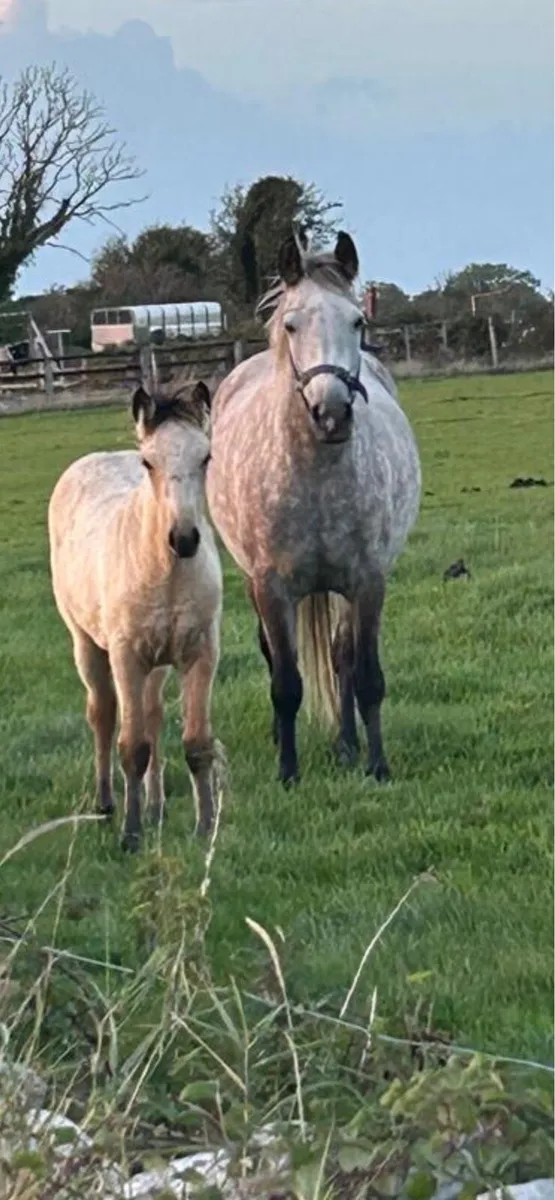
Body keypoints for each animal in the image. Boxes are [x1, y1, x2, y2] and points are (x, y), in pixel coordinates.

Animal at [48, 379, 223, 851]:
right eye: (149, 462)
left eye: (206, 457)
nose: (184, 538)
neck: (166, 574)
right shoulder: (126, 656)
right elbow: (132, 747)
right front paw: (131, 835)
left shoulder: (200, 654)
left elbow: (195, 743)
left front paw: (204, 827)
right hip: (87, 645)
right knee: (104, 713)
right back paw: (107, 803)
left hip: (157, 664)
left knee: (153, 714)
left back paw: (157, 806)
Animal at [206, 231, 421, 786]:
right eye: (291, 324)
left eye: (358, 321)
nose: (332, 413)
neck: (315, 473)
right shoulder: (271, 586)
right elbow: (286, 682)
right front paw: (287, 772)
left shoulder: (368, 582)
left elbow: (365, 676)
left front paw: (377, 765)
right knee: (273, 656)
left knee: (341, 657)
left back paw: (346, 743)